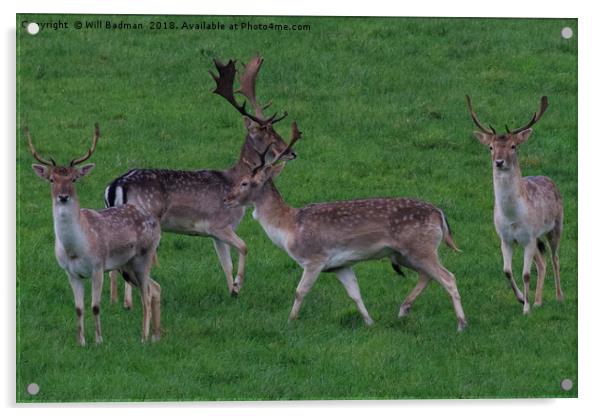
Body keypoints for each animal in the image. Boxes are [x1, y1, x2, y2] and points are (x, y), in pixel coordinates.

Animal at [28, 125, 162, 346]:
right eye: (52, 179)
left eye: (74, 179)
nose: (63, 196)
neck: (75, 249)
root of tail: (155, 221)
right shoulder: (71, 272)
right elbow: (78, 308)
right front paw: (81, 342)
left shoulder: (98, 267)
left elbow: (95, 306)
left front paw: (99, 340)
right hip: (127, 265)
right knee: (156, 288)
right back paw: (157, 335)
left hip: (145, 255)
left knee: (146, 294)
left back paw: (144, 337)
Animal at [106, 53, 298, 306]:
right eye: (266, 130)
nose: (292, 152)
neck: (233, 179)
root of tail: (116, 185)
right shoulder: (219, 223)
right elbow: (244, 247)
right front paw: (238, 286)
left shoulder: (215, 233)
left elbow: (226, 263)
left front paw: (232, 291)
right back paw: (129, 303)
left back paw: (115, 301)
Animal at [223, 121, 466, 332]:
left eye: (244, 182)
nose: (226, 198)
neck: (289, 227)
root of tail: (439, 214)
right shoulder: (341, 265)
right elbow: (355, 293)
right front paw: (369, 322)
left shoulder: (315, 259)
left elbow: (300, 291)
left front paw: (290, 321)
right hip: (404, 254)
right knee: (427, 276)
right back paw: (403, 310)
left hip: (420, 247)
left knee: (448, 277)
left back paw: (461, 325)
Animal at [464, 96, 564, 312]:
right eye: (491, 147)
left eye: (513, 146)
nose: (499, 162)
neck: (512, 217)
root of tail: (549, 179)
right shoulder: (506, 239)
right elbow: (507, 271)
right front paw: (521, 299)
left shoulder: (528, 238)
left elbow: (525, 274)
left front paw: (526, 309)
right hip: (536, 239)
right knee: (541, 263)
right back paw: (538, 301)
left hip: (556, 225)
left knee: (554, 258)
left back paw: (559, 297)